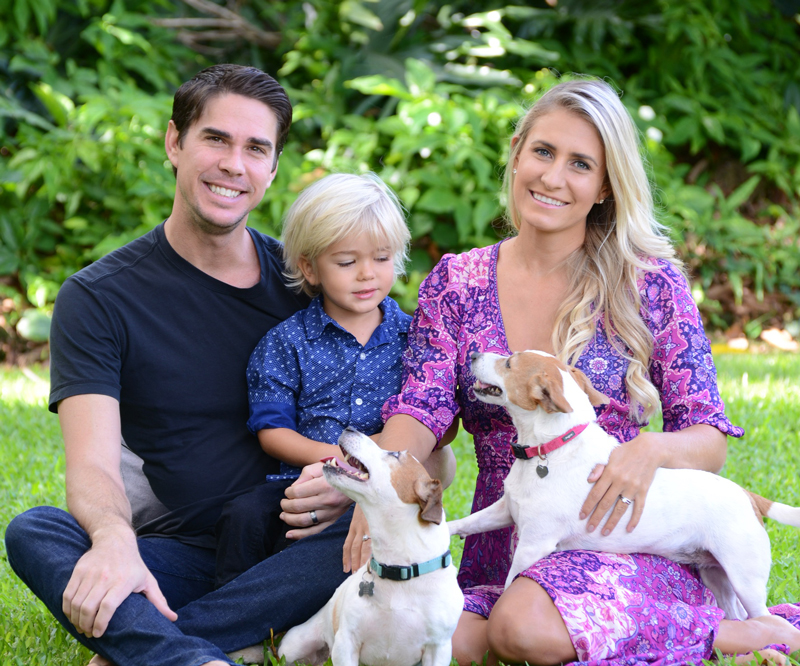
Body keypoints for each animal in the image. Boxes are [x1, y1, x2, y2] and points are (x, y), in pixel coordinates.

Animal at [446, 348, 800, 616]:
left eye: (509, 362)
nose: (473, 353)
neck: (550, 449)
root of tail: (749, 496)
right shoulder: (505, 510)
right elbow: (467, 522)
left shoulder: (534, 544)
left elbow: (508, 585)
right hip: (718, 577)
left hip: (745, 580)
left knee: (764, 619)